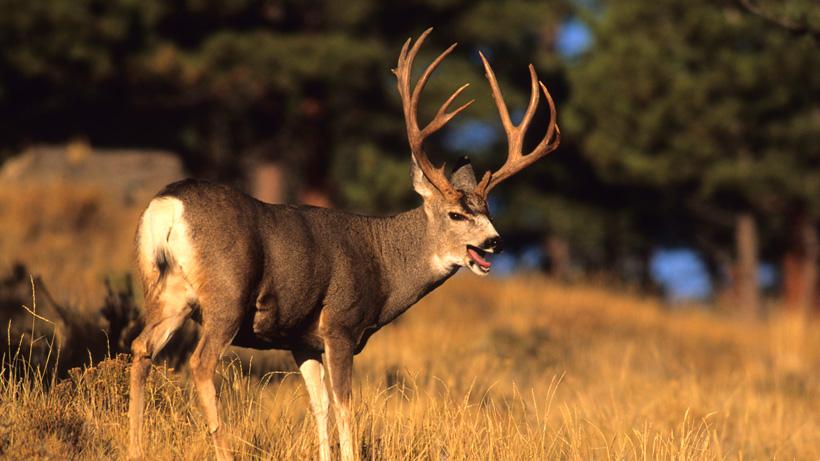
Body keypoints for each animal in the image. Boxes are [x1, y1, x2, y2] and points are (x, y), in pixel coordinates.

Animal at [127, 28, 560, 461]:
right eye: (456, 215)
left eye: (488, 210)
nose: (496, 241)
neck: (384, 263)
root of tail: (169, 205)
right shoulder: (340, 324)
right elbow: (344, 405)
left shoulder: (300, 339)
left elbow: (318, 405)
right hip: (226, 294)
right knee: (200, 362)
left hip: (167, 290)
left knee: (140, 346)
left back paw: (136, 447)